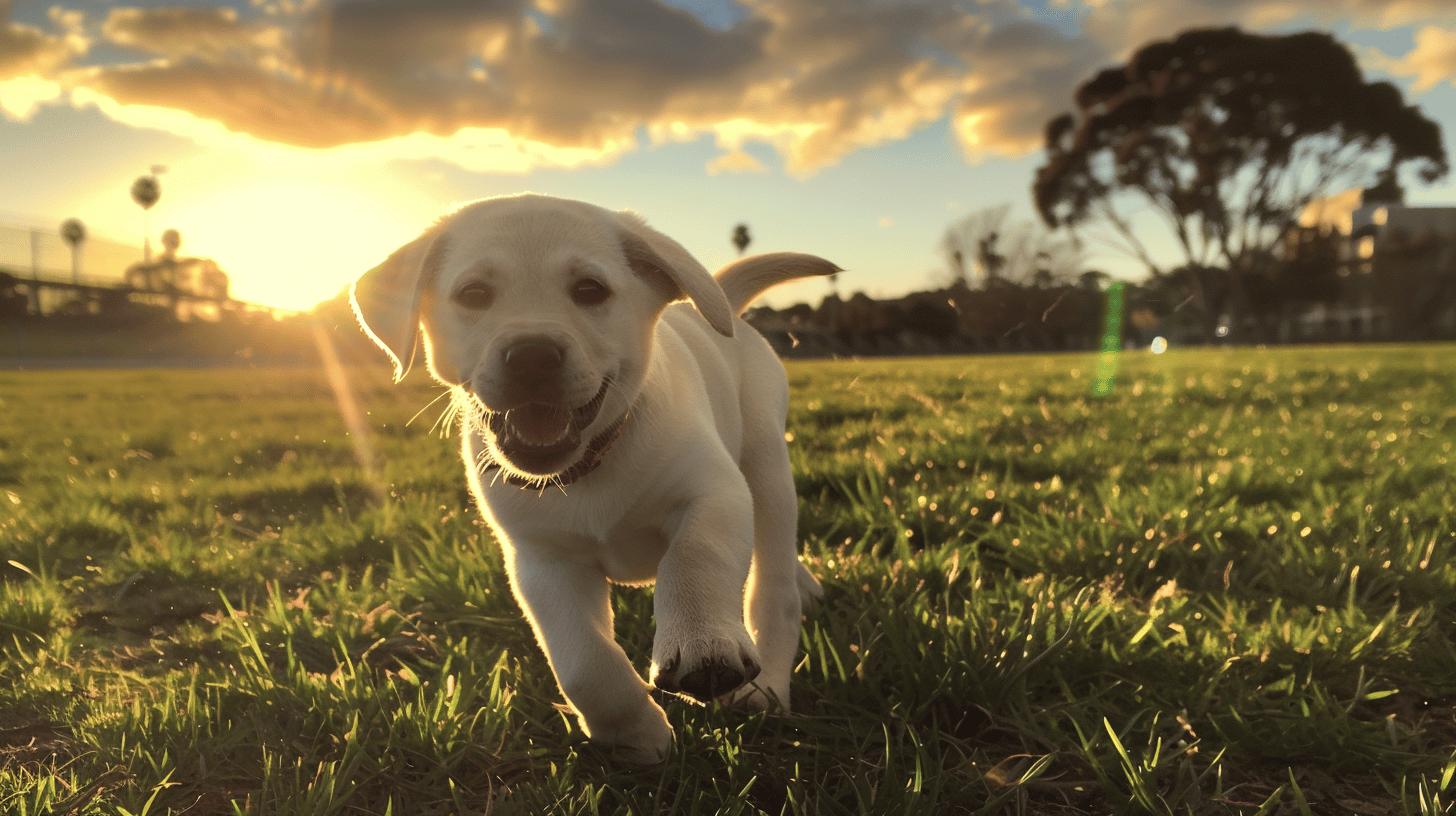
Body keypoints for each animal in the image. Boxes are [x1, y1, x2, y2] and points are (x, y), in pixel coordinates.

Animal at [346, 193, 838, 763]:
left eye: (589, 290)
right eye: (473, 294)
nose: (531, 355)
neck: (589, 464)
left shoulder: (714, 493)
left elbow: (694, 558)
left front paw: (702, 646)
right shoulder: (542, 559)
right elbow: (582, 661)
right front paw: (634, 735)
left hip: (765, 467)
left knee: (771, 578)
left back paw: (766, 682)